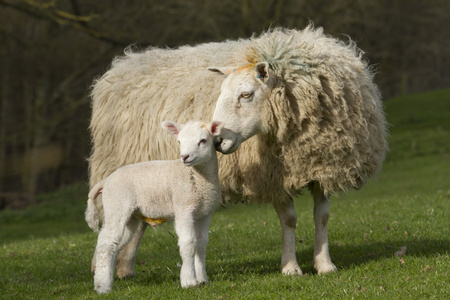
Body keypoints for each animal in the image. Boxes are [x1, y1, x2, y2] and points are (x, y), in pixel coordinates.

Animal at [84, 119, 223, 292]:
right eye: (179, 141)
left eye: (203, 141)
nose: (185, 157)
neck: (198, 178)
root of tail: (105, 181)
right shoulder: (183, 208)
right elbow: (189, 243)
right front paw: (189, 281)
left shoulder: (205, 213)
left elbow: (202, 244)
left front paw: (203, 279)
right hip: (116, 206)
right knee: (105, 243)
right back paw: (102, 287)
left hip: (130, 216)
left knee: (115, 244)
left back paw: (106, 281)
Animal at [89, 25, 388, 278]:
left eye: (246, 94)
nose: (217, 140)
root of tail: (121, 67)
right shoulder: (273, 175)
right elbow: (289, 220)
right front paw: (291, 267)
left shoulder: (321, 166)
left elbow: (322, 218)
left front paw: (324, 264)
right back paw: (103, 268)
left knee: (137, 224)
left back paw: (125, 269)